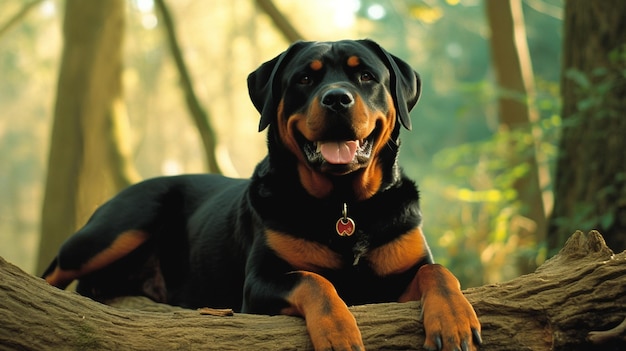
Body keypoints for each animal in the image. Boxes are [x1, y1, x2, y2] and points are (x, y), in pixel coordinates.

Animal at [44, 39, 480, 351]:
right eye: (304, 78)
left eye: (367, 76)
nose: (337, 98)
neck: (344, 206)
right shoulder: (258, 284)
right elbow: (313, 281)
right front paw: (338, 331)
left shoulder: (399, 274)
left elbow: (437, 272)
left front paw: (454, 320)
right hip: (117, 227)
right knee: (56, 271)